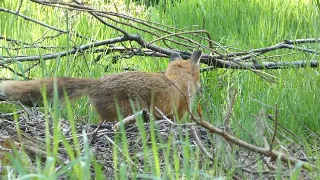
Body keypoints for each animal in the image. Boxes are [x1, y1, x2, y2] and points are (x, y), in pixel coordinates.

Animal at [0, 50, 201, 121]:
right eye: (198, 75)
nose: (201, 87)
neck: (175, 78)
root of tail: (98, 81)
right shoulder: (180, 112)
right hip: (125, 113)